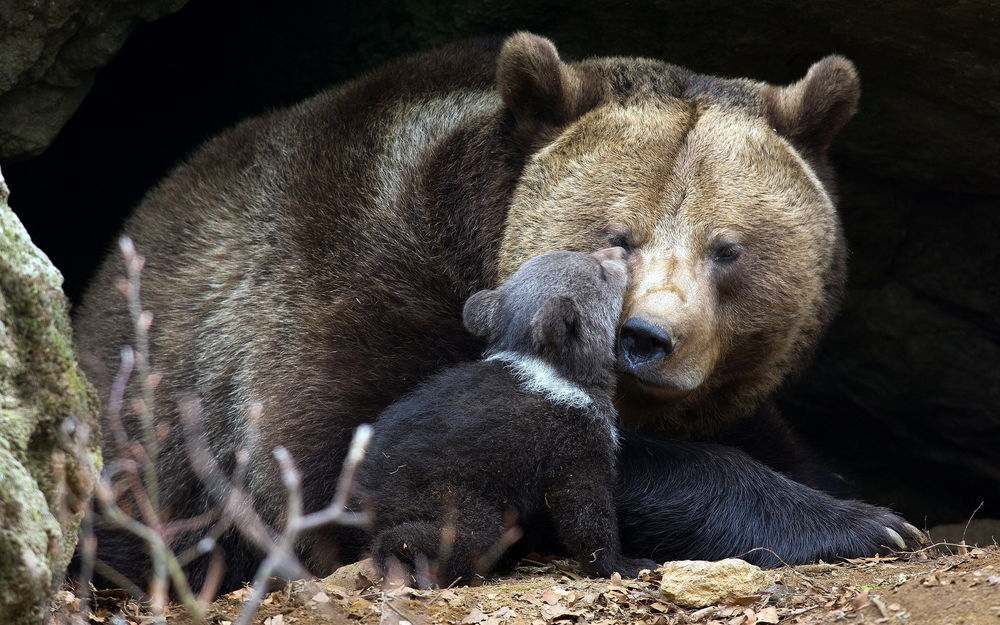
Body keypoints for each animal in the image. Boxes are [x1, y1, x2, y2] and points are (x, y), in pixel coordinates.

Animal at [76, 33, 920, 588]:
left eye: (728, 248)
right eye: (617, 236)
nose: (646, 338)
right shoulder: (359, 290)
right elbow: (355, 459)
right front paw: (862, 520)